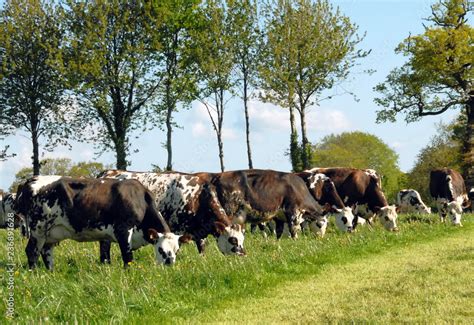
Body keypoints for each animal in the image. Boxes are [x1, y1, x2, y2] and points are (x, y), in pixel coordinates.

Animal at [14, 176, 187, 270]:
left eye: (177, 250)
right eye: (161, 250)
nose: (169, 265)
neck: (140, 199)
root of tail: (31, 179)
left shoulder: (106, 236)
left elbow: (105, 256)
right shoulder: (123, 229)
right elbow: (127, 257)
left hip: (50, 233)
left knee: (46, 252)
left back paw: (51, 273)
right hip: (38, 229)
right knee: (32, 251)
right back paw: (35, 273)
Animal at [96, 171, 244, 256]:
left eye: (242, 239)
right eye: (233, 240)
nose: (243, 254)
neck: (198, 196)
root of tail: (108, 172)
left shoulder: (199, 231)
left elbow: (202, 249)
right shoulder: (176, 228)